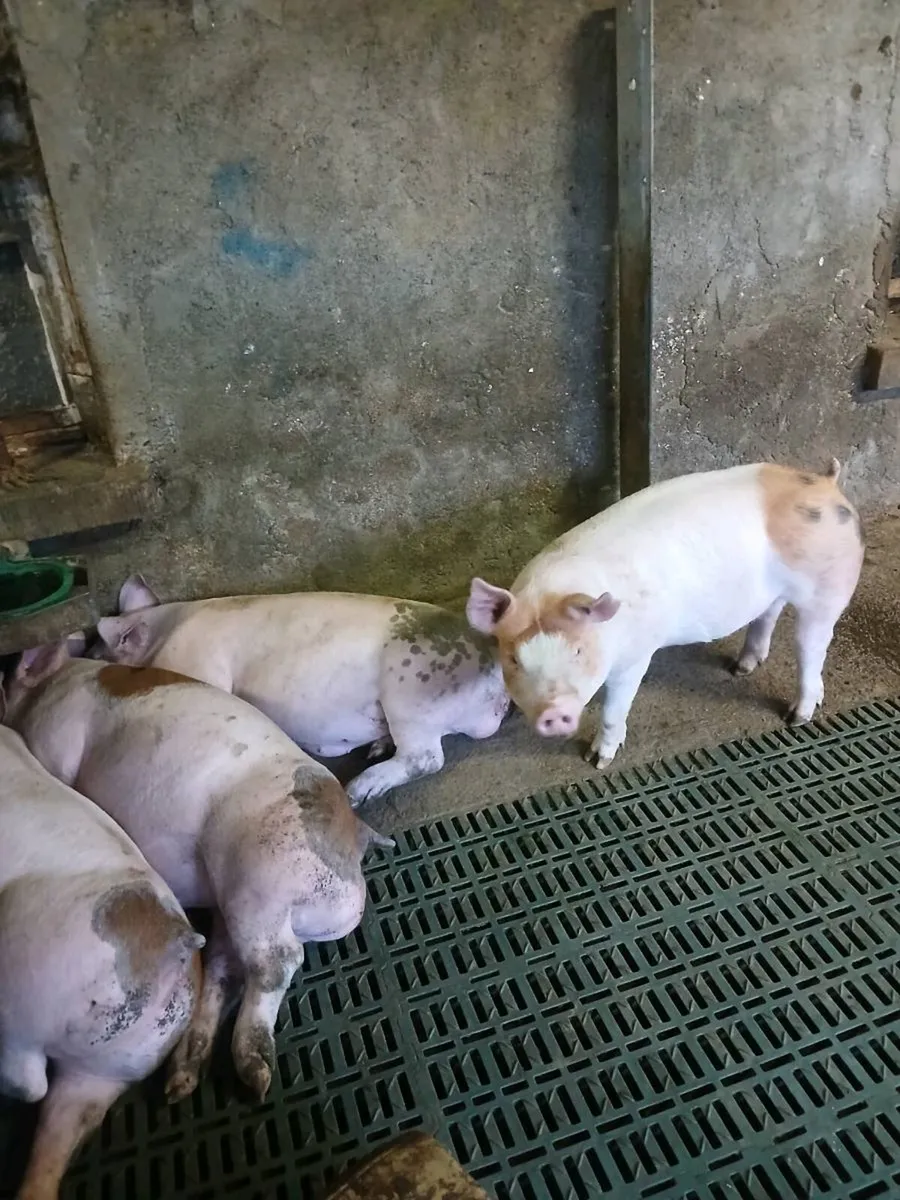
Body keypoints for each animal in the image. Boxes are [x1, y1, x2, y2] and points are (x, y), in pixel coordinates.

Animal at [2, 646, 392, 1105]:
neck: (50, 684)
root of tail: (353, 844)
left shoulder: (54, 741)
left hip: (262, 879)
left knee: (276, 963)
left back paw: (255, 1079)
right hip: (232, 903)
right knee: (225, 971)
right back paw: (180, 1083)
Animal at [90, 583, 510, 806]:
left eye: (97, 652)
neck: (165, 630)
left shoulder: (198, 662)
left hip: (412, 691)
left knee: (426, 758)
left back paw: (358, 791)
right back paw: (375, 748)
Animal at [466, 460, 864, 768]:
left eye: (578, 651)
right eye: (514, 659)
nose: (553, 711)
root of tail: (828, 485)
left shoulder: (636, 653)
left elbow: (615, 707)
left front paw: (597, 761)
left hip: (828, 589)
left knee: (811, 647)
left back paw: (796, 717)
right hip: (774, 592)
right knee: (768, 615)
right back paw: (740, 668)